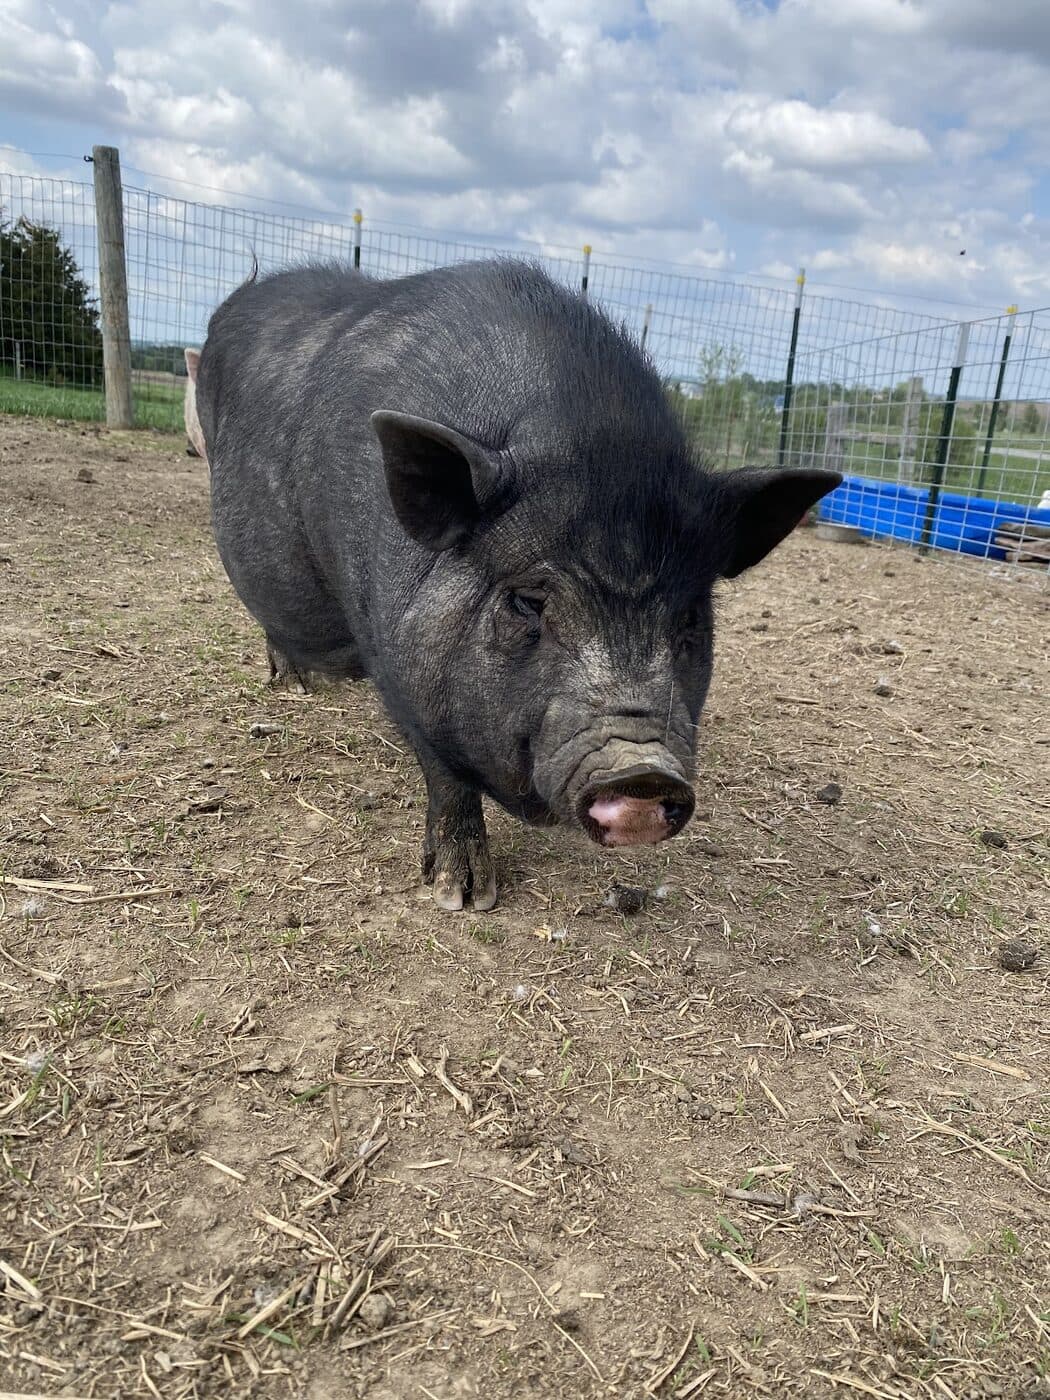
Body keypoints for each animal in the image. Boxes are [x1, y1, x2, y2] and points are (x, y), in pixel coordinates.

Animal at [195, 259, 840, 911]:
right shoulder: (400, 663)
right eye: (528, 600)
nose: (642, 770)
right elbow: (446, 776)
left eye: (690, 619)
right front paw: (464, 897)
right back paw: (294, 685)